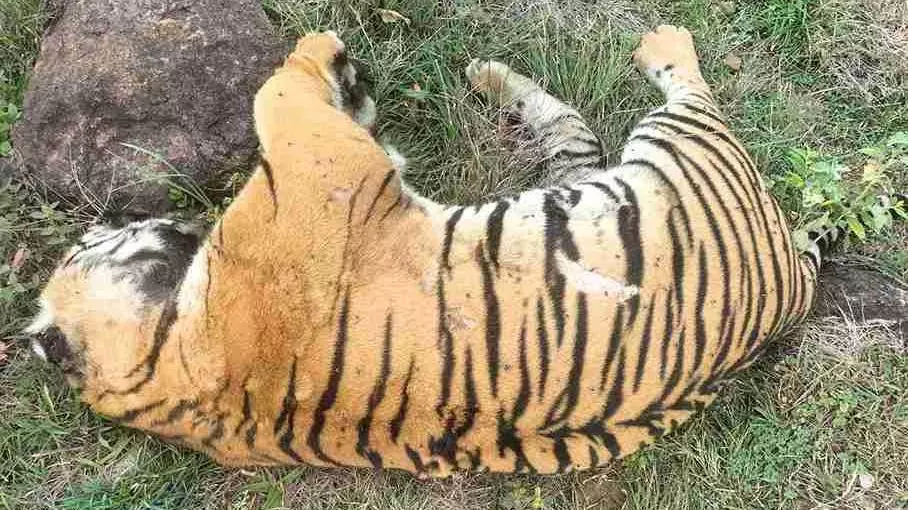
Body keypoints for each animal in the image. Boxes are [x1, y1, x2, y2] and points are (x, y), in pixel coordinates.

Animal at [25, 26, 835, 476]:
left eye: (92, 237)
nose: (126, 219)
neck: (167, 373)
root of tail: (790, 285)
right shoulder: (324, 165)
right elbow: (277, 92)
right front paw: (323, 53)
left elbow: (297, 98)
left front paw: (346, 75)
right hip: (677, 151)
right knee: (684, 90)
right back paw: (661, 39)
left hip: (589, 178)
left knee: (570, 130)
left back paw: (487, 75)